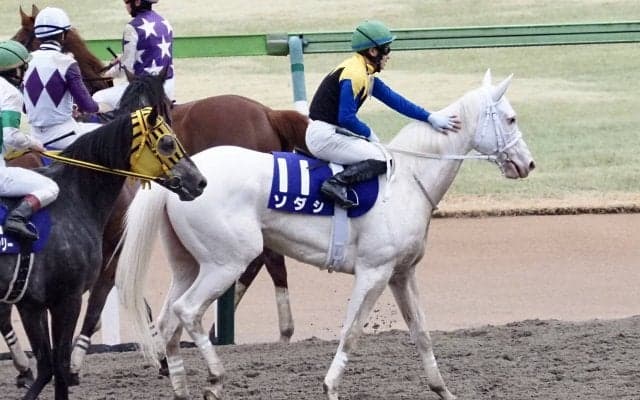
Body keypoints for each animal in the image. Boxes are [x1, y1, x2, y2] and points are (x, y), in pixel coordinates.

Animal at [116, 70, 536, 400]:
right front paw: (330, 386)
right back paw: (216, 377)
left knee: (167, 322)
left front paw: (443, 390)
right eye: (511, 118)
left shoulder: (402, 274)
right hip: (226, 261)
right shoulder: (374, 273)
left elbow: (421, 333)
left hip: (188, 264)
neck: (408, 179)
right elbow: (351, 333)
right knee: (187, 311)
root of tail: (185, 176)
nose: (528, 163)